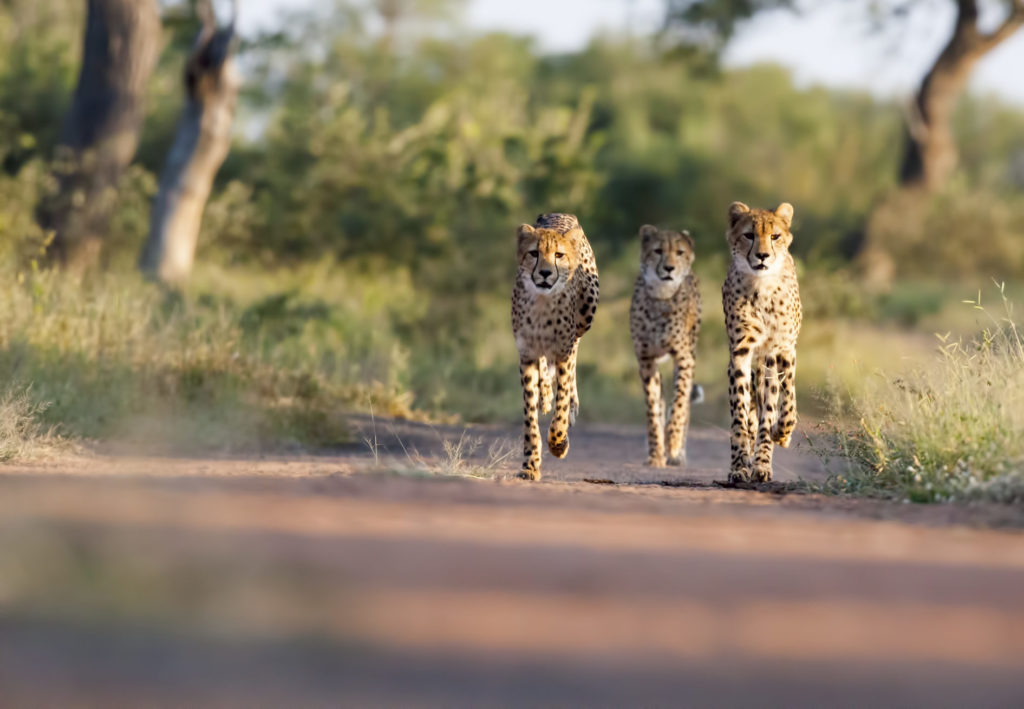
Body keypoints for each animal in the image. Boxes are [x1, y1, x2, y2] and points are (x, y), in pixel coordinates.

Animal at [512, 213, 598, 479]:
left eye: (558, 255)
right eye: (534, 253)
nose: (545, 273)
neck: (542, 302)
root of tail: (561, 214)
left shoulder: (563, 352)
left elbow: (562, 402)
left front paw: (558, 443)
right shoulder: (527, 355)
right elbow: (530, 416)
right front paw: (530, 464)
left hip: (586, 314)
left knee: (574, 359)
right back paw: (546, 394)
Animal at [626, 225, 700, 465]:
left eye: (679, 252)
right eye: (658, 251)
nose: (669, 268)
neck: (661, 295)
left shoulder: (683, 358)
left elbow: (679, 406)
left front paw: (673, 444)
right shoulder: (646, 360)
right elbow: (652, 408)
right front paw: (656, 453)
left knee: (685, 406)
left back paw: (678, 453)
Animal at [724, 201, 802, 485]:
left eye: (775, 236)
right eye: (749, 235)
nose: (762, 256)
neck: (762, 287)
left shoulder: (779, 350)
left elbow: (780, 406)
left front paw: (776, 438)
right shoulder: (741, 352)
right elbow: (740, 414)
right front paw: (739, 466)